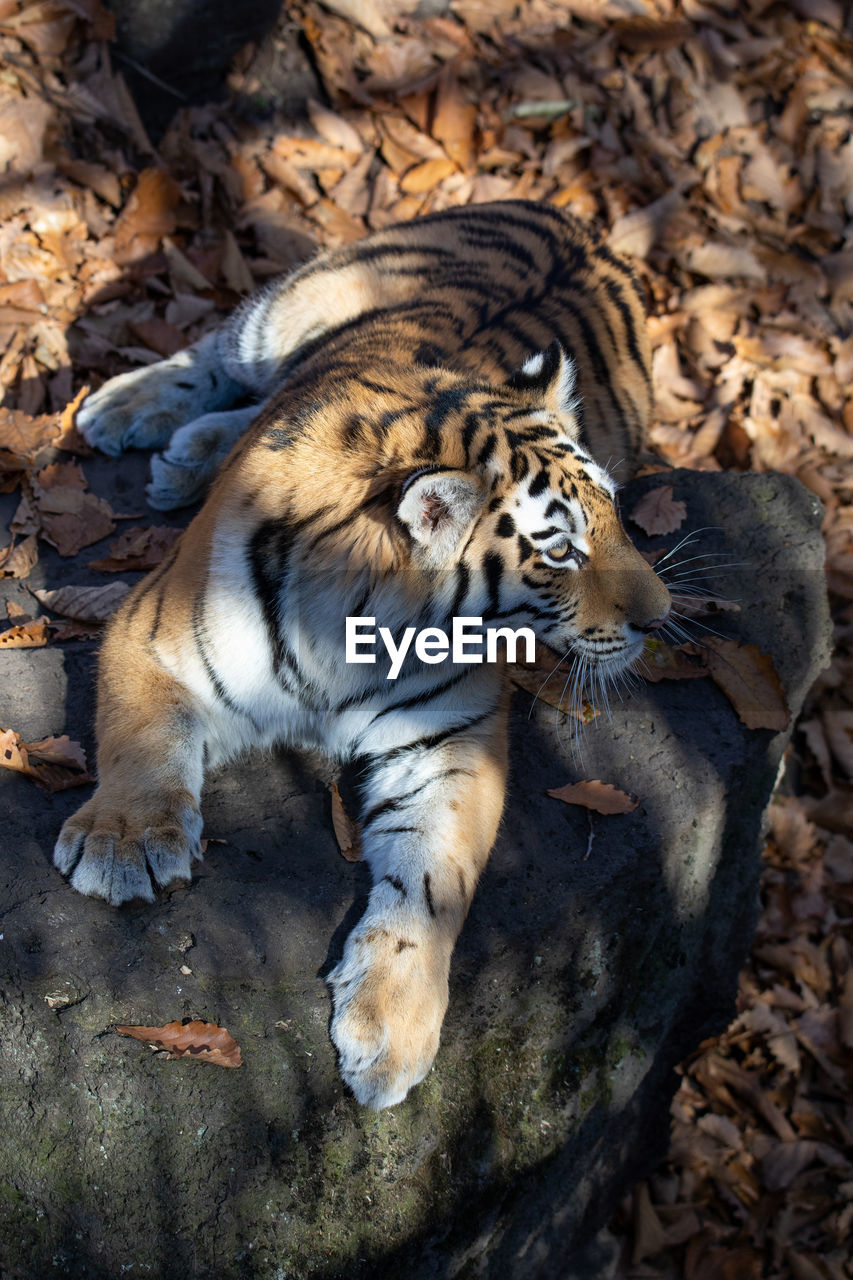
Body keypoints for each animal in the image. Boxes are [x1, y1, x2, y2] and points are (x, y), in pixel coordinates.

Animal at [53, 199, 671, 1111]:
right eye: (560, 551)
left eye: (620, 518)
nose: (660, 618)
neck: (355, 633)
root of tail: (587, 227)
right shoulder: (151, 630)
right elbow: (141, 741)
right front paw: (124, 844)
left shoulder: (449, 740)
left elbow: (433, 881)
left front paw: (391, 1029)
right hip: (285, 312)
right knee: (214, 354)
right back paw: (128, 411)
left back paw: (189, 454)